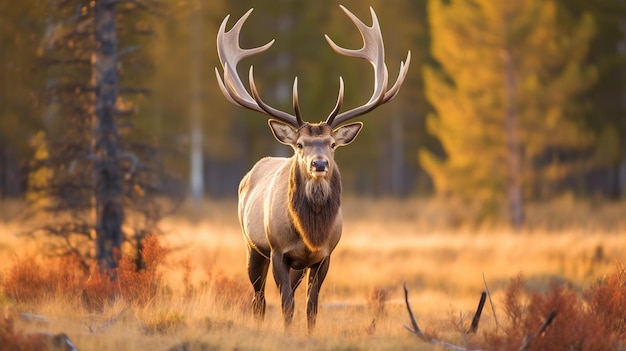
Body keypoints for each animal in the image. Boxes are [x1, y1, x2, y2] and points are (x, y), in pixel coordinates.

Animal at [214, 4, 410, 332]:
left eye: (332, 144)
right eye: (300, 144)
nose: (319, 163)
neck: (310, 233)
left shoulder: (324, 256)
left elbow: (311, 306)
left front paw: (307, 333)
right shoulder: (278, 250)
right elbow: (286, 305)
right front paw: (287, 333)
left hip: (297, 265)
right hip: (251, 244)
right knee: (258, 298)